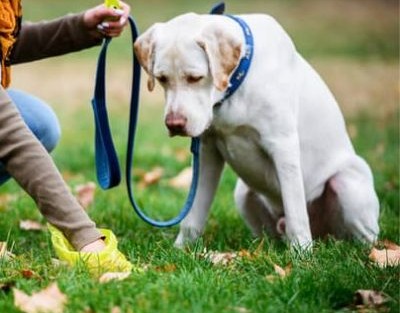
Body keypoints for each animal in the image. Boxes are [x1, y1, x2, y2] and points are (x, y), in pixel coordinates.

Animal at [134, 12, 378, 249]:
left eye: (195, 78)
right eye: (162, 78)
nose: (174, 124)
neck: (235, 87)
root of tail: (323, 235)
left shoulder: (283, 147)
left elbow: (296, 214)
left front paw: (302, 255)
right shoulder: (207, 151)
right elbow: (193, 214)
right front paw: (181, 250)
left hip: (346, 183)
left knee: (363, 236)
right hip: (243, 193)